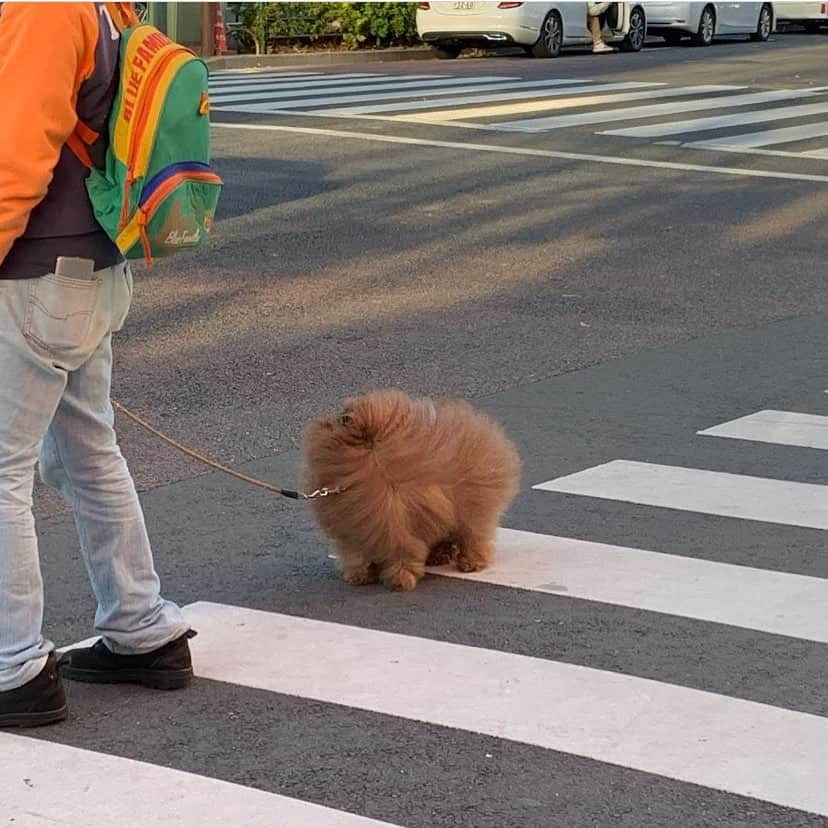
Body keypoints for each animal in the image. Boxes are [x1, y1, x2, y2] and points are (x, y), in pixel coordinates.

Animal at [300, 392, 520, 592]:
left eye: (341, 417)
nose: (327, 419)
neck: (371, 459)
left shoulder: (389, 527)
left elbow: (394, 554)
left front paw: (397, 579)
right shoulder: (360, 530)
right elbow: (363, 555)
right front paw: (365, 576)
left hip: (471, 509)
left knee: (473, 536)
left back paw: (470, 563)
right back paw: (439, 556)